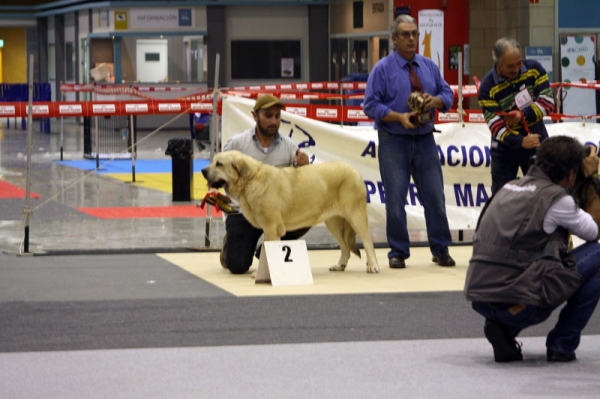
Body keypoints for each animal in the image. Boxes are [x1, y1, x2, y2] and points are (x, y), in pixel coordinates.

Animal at [202, 151, 380, 276]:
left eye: (219, 164)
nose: (203, 170)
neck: (250, 180)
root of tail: (355, 171)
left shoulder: (271, 228)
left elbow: (267, 252)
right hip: (334, 222)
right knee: (345, 246)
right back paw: (340, 265)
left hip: (355, 216)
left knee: (367, 242)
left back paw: (373, 266)